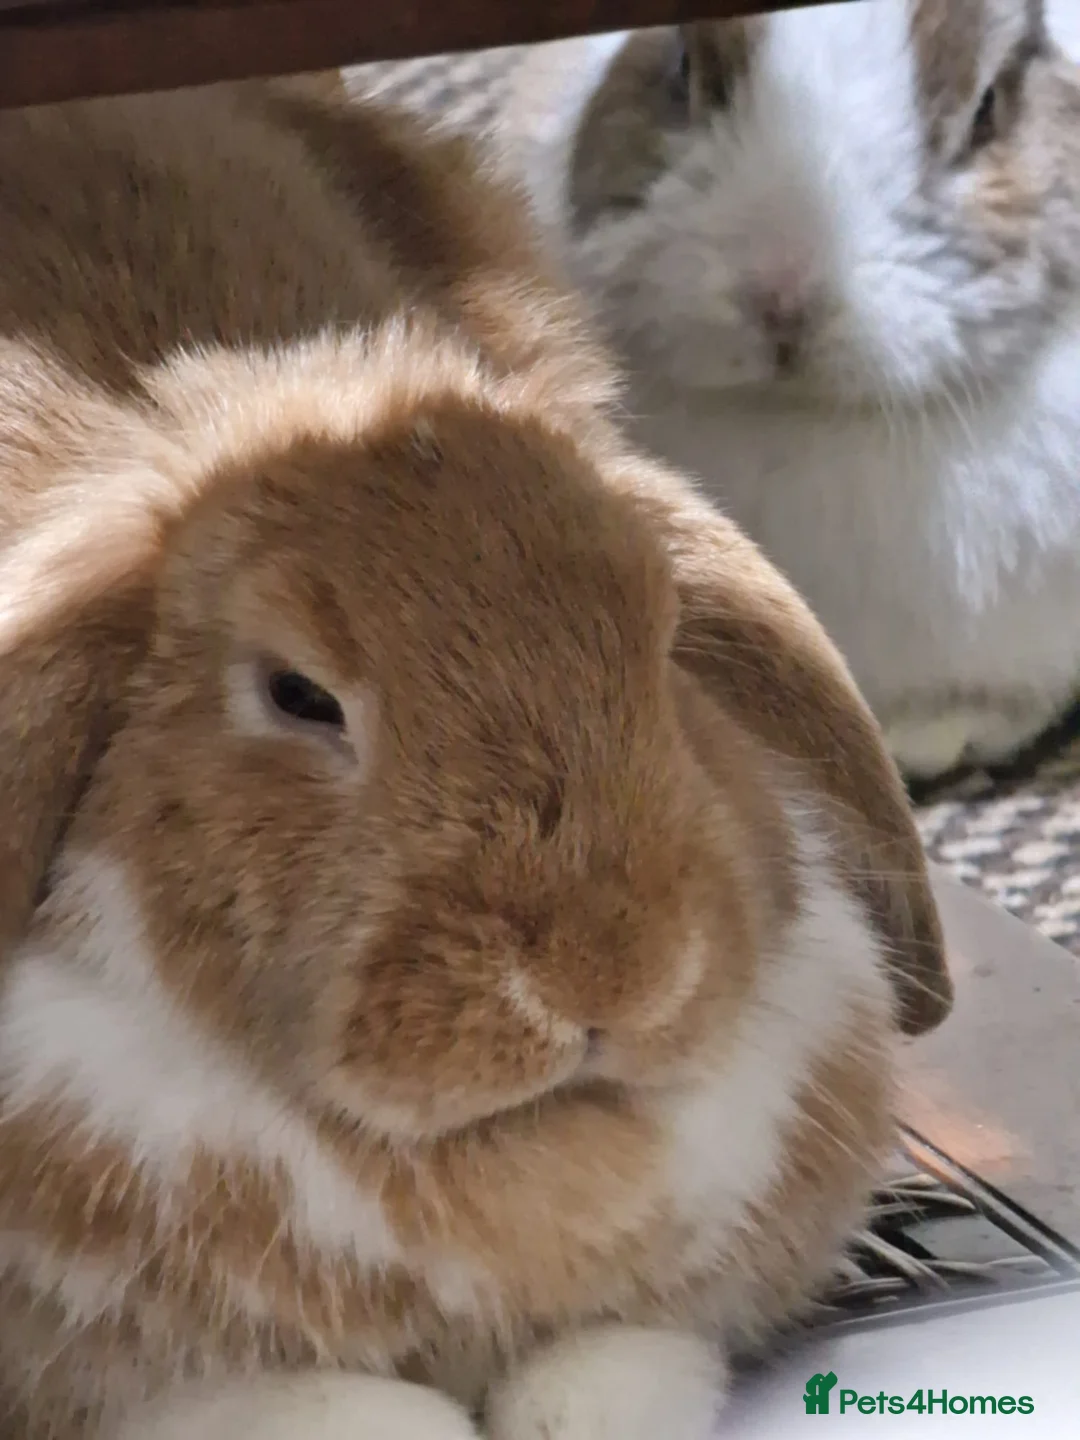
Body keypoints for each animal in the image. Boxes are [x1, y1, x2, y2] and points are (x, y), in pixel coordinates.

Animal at [0, 76, 950, 1440]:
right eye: (298, 696)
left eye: (665, 639)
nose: (610, 976)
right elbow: (304, 1404)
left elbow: (619, 1361)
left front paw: (575, 1410)